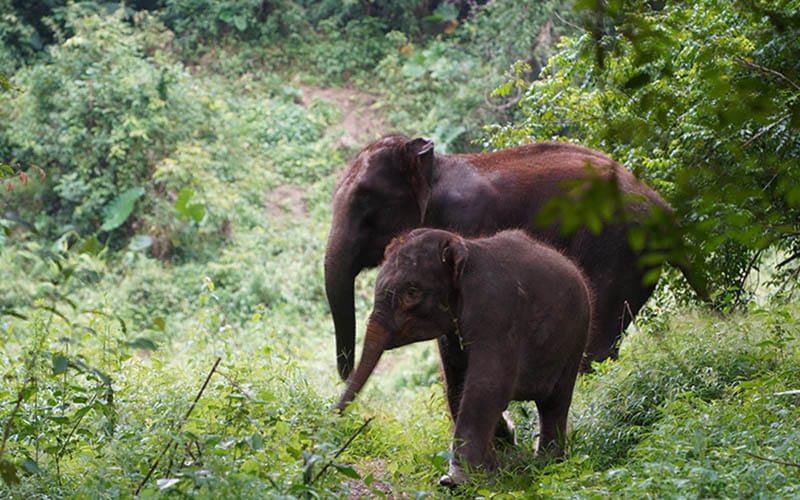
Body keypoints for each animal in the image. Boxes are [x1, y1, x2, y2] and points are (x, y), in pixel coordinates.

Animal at [324, 135, 708, 380]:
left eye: (364, 199)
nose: (344, 373)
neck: (437, 167)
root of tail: (663, 207)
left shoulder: (468, 223)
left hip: (618, 249)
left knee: (596, 342)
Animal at [334, 229, 592, 486]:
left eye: (412, 293)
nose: (335, 418)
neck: (464, 249)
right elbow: (456, 386)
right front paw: (488, 470)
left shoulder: (497, 312)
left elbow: (487, 386)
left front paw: (455, 482)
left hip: (577, 336)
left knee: (555, 402)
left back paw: (548, 464)